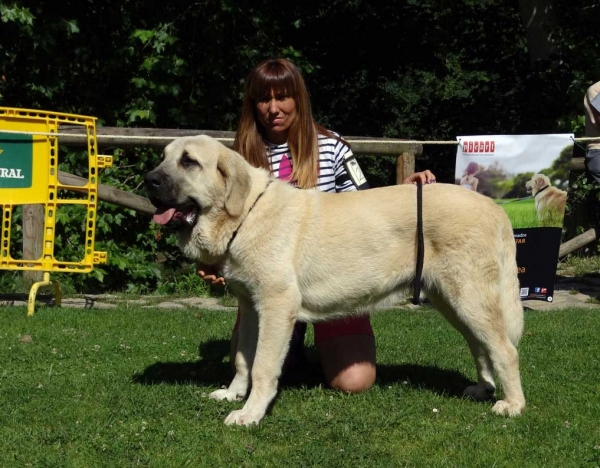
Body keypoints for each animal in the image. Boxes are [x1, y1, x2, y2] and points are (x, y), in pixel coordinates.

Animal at [145, 135, 524, 428]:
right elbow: (242, 358)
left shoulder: (276, 305)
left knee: (505, 349)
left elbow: (263, 365)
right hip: (452, 301)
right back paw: (484, 389)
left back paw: (513, 404)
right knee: (480, 345)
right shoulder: (250, 306)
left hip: (469, 298)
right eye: (163, 157)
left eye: (189, 162)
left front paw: (251, 413)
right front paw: (233, 393)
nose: (149, 180)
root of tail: (493, 207)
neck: (245, 214)